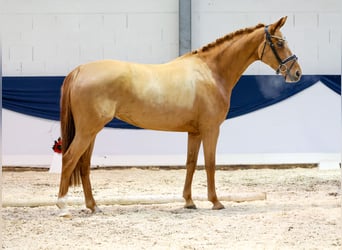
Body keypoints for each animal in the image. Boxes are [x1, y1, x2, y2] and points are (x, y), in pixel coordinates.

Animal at [57, 16, 300, 216]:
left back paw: (93, 206)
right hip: (88, 131)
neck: (210, 72)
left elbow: (190, 163)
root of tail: (80, 70)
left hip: (91, 132)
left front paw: (189, 202)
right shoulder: (211, 129)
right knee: (69, 159)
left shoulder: (194, 132)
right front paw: (215, 202)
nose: (297, 73)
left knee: (84, 164)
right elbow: (210, 163)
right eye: (279, 43)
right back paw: (62, 207)